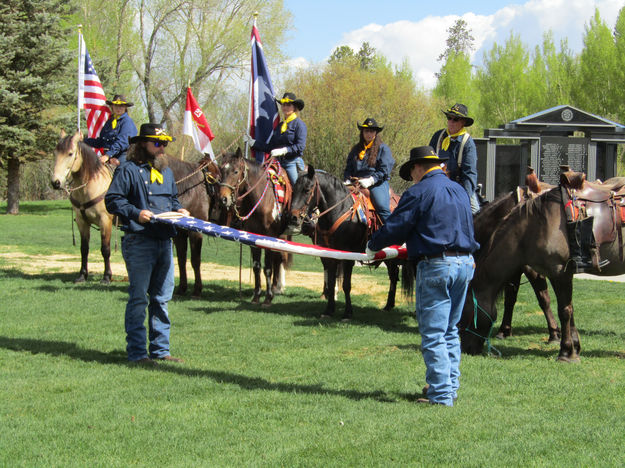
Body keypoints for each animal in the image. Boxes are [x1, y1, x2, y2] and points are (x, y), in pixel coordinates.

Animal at [216, 147, 292, 308]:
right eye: (221, 170)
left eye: (235, 171)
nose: (223, 199)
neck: (262, 200)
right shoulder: (253, 237)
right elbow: (257, 267)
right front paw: (256, 296)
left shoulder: (269, 237)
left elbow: (267, 268)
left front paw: (268, 298)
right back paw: (276, 287)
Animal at [282, 163, 410, 320]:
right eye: (294, 190)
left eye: (307, 189)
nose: (293, 217)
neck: (339, 211)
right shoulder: (328, 255)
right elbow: (331, 282)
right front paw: (329, 309)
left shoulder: (348, 255)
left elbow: (346, 285)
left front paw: (348, 312)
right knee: (393, 275)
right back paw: (388, 305)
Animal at [458, 176, 624, 362]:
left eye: (464, 315)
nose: (467, 349)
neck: (534, 226)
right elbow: (562, 306)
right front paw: (574, 345)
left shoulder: (558, 271)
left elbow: (562, 309)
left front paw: (565, 351)